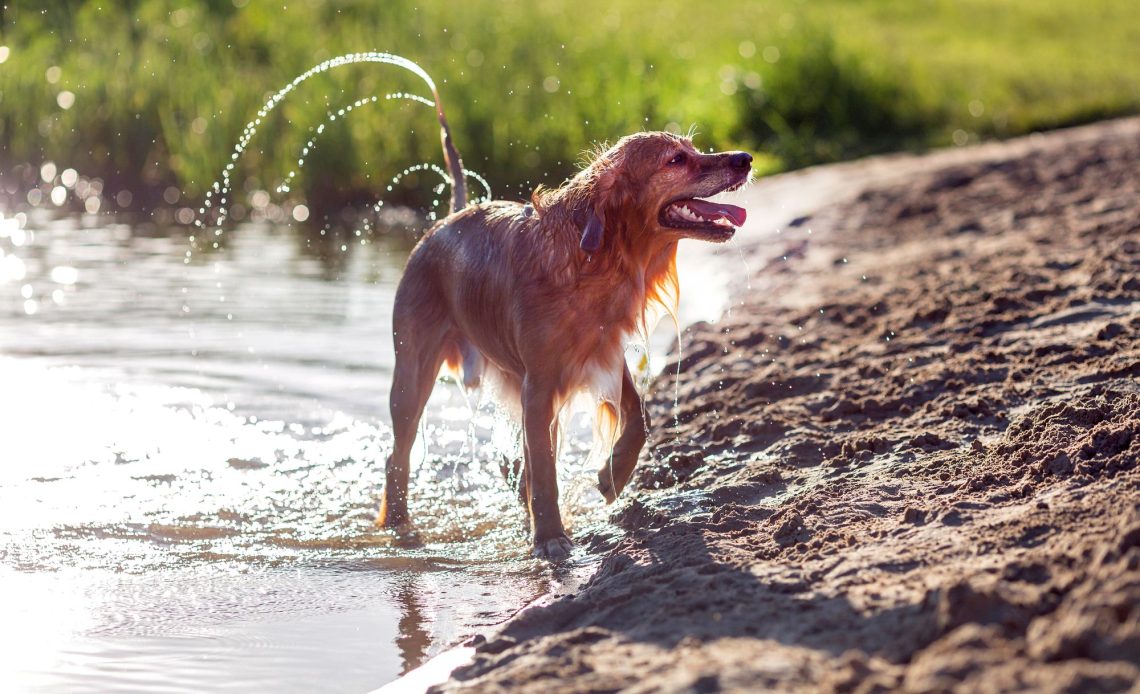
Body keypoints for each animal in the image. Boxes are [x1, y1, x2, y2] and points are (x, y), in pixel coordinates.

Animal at [378, 127, 752, 558]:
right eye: (676, 159)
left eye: (692, 148)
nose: (745, 158)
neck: (593, 261)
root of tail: (444, 221)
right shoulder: (539, 385)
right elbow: (543, 470)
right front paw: (550, 537)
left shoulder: (604, 355)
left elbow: (639, 419)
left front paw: (612, 475)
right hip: (412, 375)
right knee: (397, 459)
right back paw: (398, 525)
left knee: (506, 463)